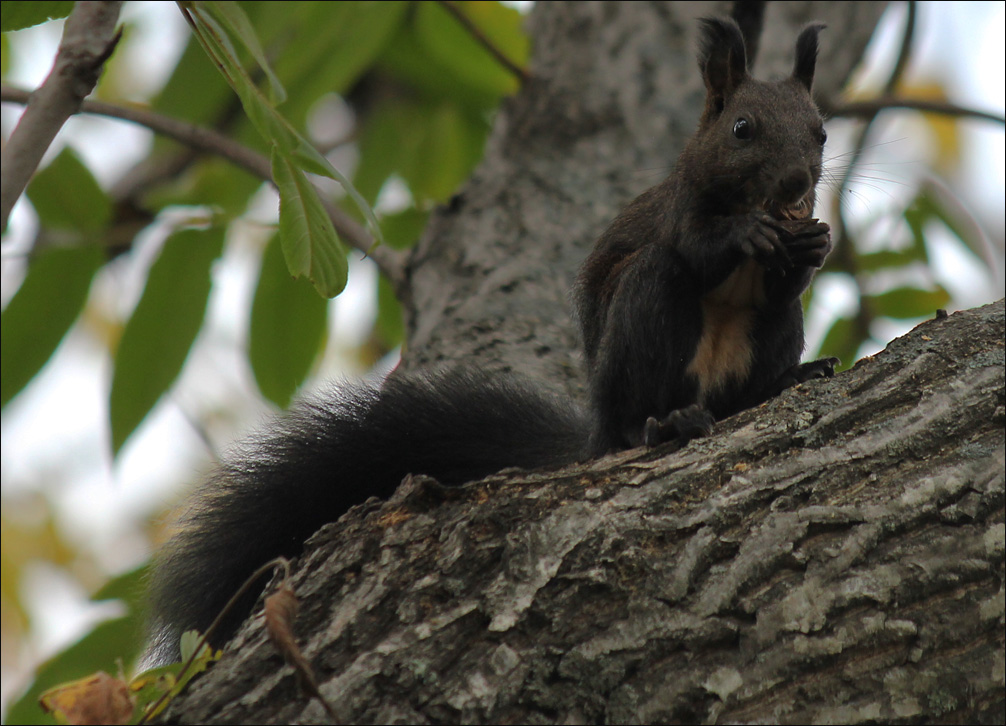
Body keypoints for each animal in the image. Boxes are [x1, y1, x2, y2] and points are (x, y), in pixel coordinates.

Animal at [141, 15, 832, 663]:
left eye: (822, 132)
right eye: (741, 129)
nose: (799, 184)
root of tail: (595, 429)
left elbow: (787, 279)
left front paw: (814, 244)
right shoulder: (680, 209)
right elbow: (697, 246)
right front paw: (744, 235)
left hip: (775, 333)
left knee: (758, 362)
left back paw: (787, 379)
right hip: (644, 316)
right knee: (644, 368)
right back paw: (660, 425)